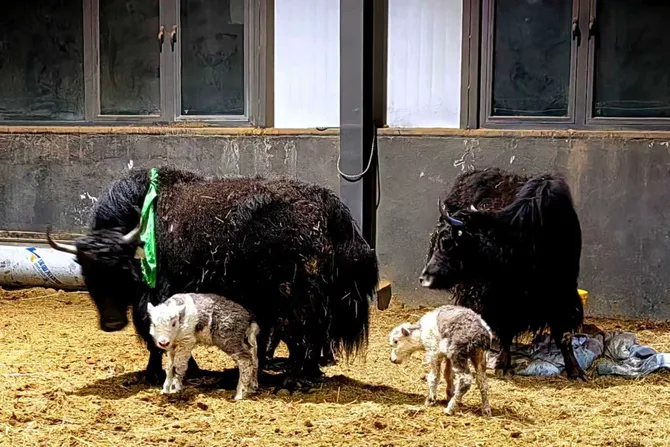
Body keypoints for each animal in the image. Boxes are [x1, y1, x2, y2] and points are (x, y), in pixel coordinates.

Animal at [47, 167, 379, 391]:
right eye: (86, 271)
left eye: (121, 269)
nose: (112, 323)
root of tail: (332, 210)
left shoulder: (155, 297)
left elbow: (155, 334)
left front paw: (160, 373)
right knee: (308, 337)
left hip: (294, 296)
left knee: (302, 335)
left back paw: (290, 382)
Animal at [420, 170, 587, 380]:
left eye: (447, 242)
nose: (424, 278)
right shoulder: (499, 299)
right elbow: (506, 329)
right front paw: (503, 365)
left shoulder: (563, 295)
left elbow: (563, 334)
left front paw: (575, 370)